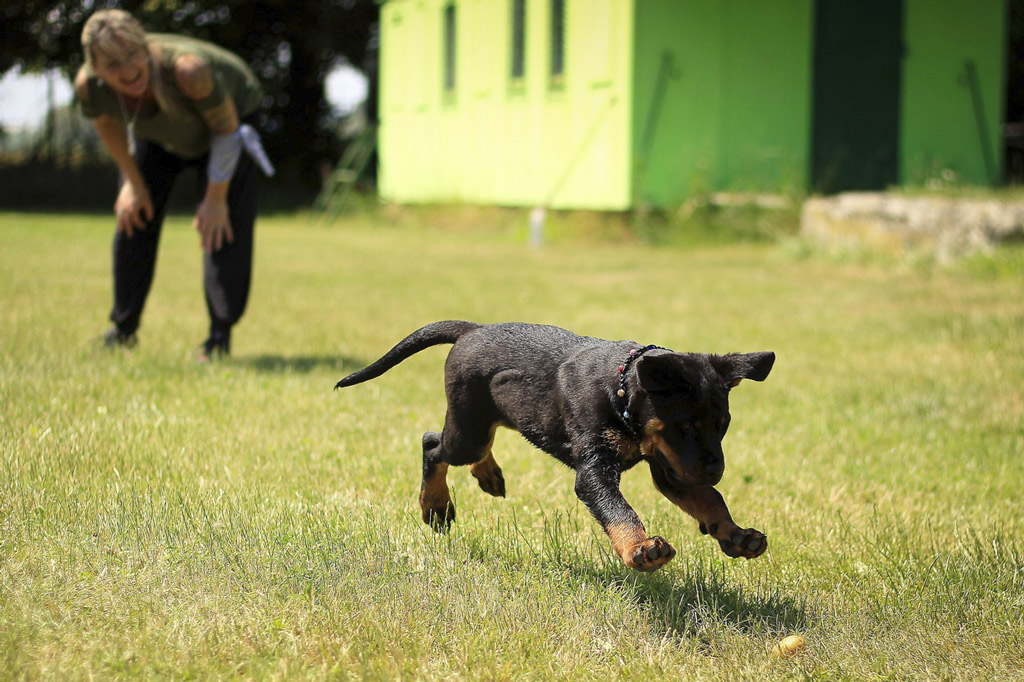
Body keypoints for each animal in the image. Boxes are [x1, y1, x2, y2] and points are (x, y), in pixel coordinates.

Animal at [337, 319, 774, 569]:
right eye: (684, 425)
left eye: (723, 425)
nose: (716, 469)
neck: (620, 390)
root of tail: (472, 329)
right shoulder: (596, 469)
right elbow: (619, 510)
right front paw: (640, 549)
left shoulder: (672, 467)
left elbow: (710, 499)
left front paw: (736, 535)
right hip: (468, 428)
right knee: (433, 445)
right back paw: (436, 506)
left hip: (490, 418)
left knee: (477, 443)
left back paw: (488, 475)